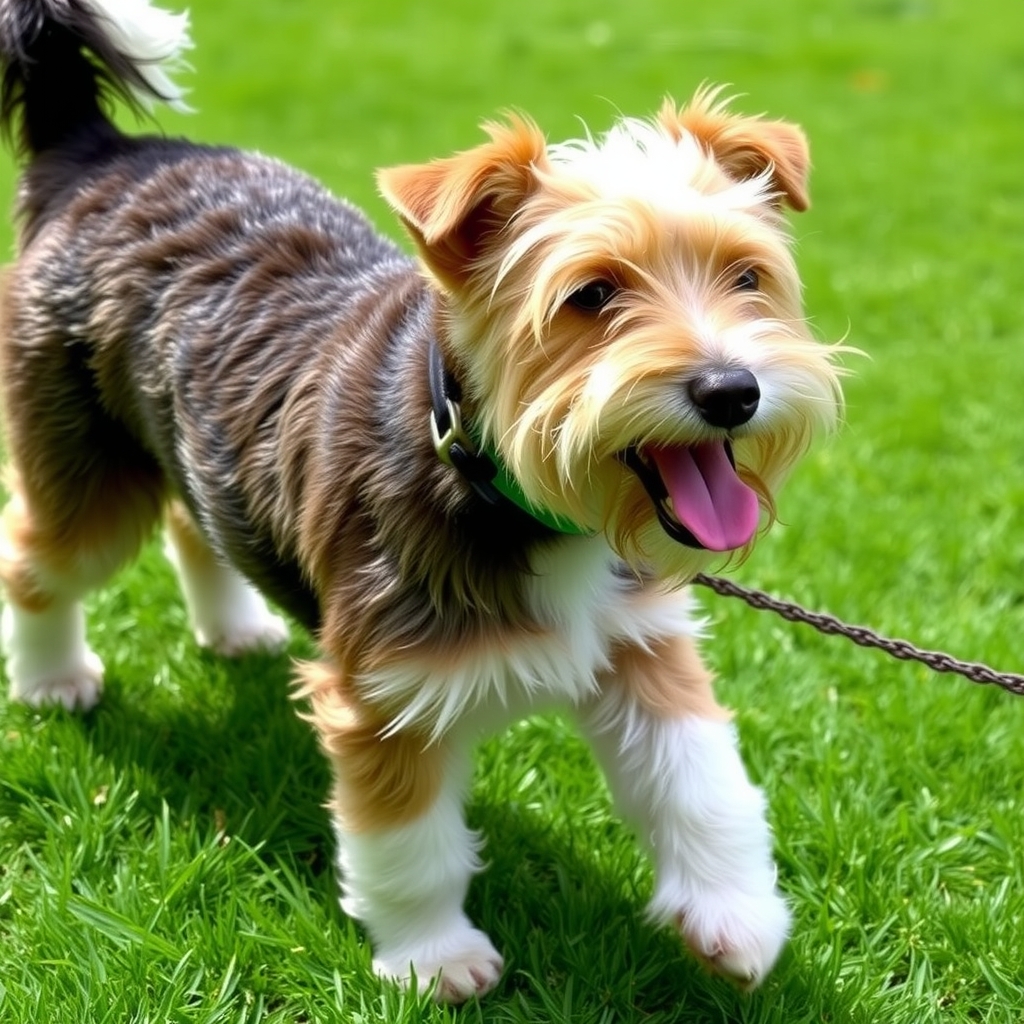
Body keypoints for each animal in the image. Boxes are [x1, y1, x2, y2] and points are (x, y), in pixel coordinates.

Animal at [0, 0, 839, 999]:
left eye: (747, 277)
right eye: (591, 295)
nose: (731, 390)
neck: (510, 490)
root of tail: (102, 151)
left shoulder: (640, 639)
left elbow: (701, 781)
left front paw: (735, 915)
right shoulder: (382, 692)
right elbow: (411, 848)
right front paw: (435, 959)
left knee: (189, 520)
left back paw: (233, 626)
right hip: (78, 462)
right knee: (37, 558)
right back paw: (52, 679)